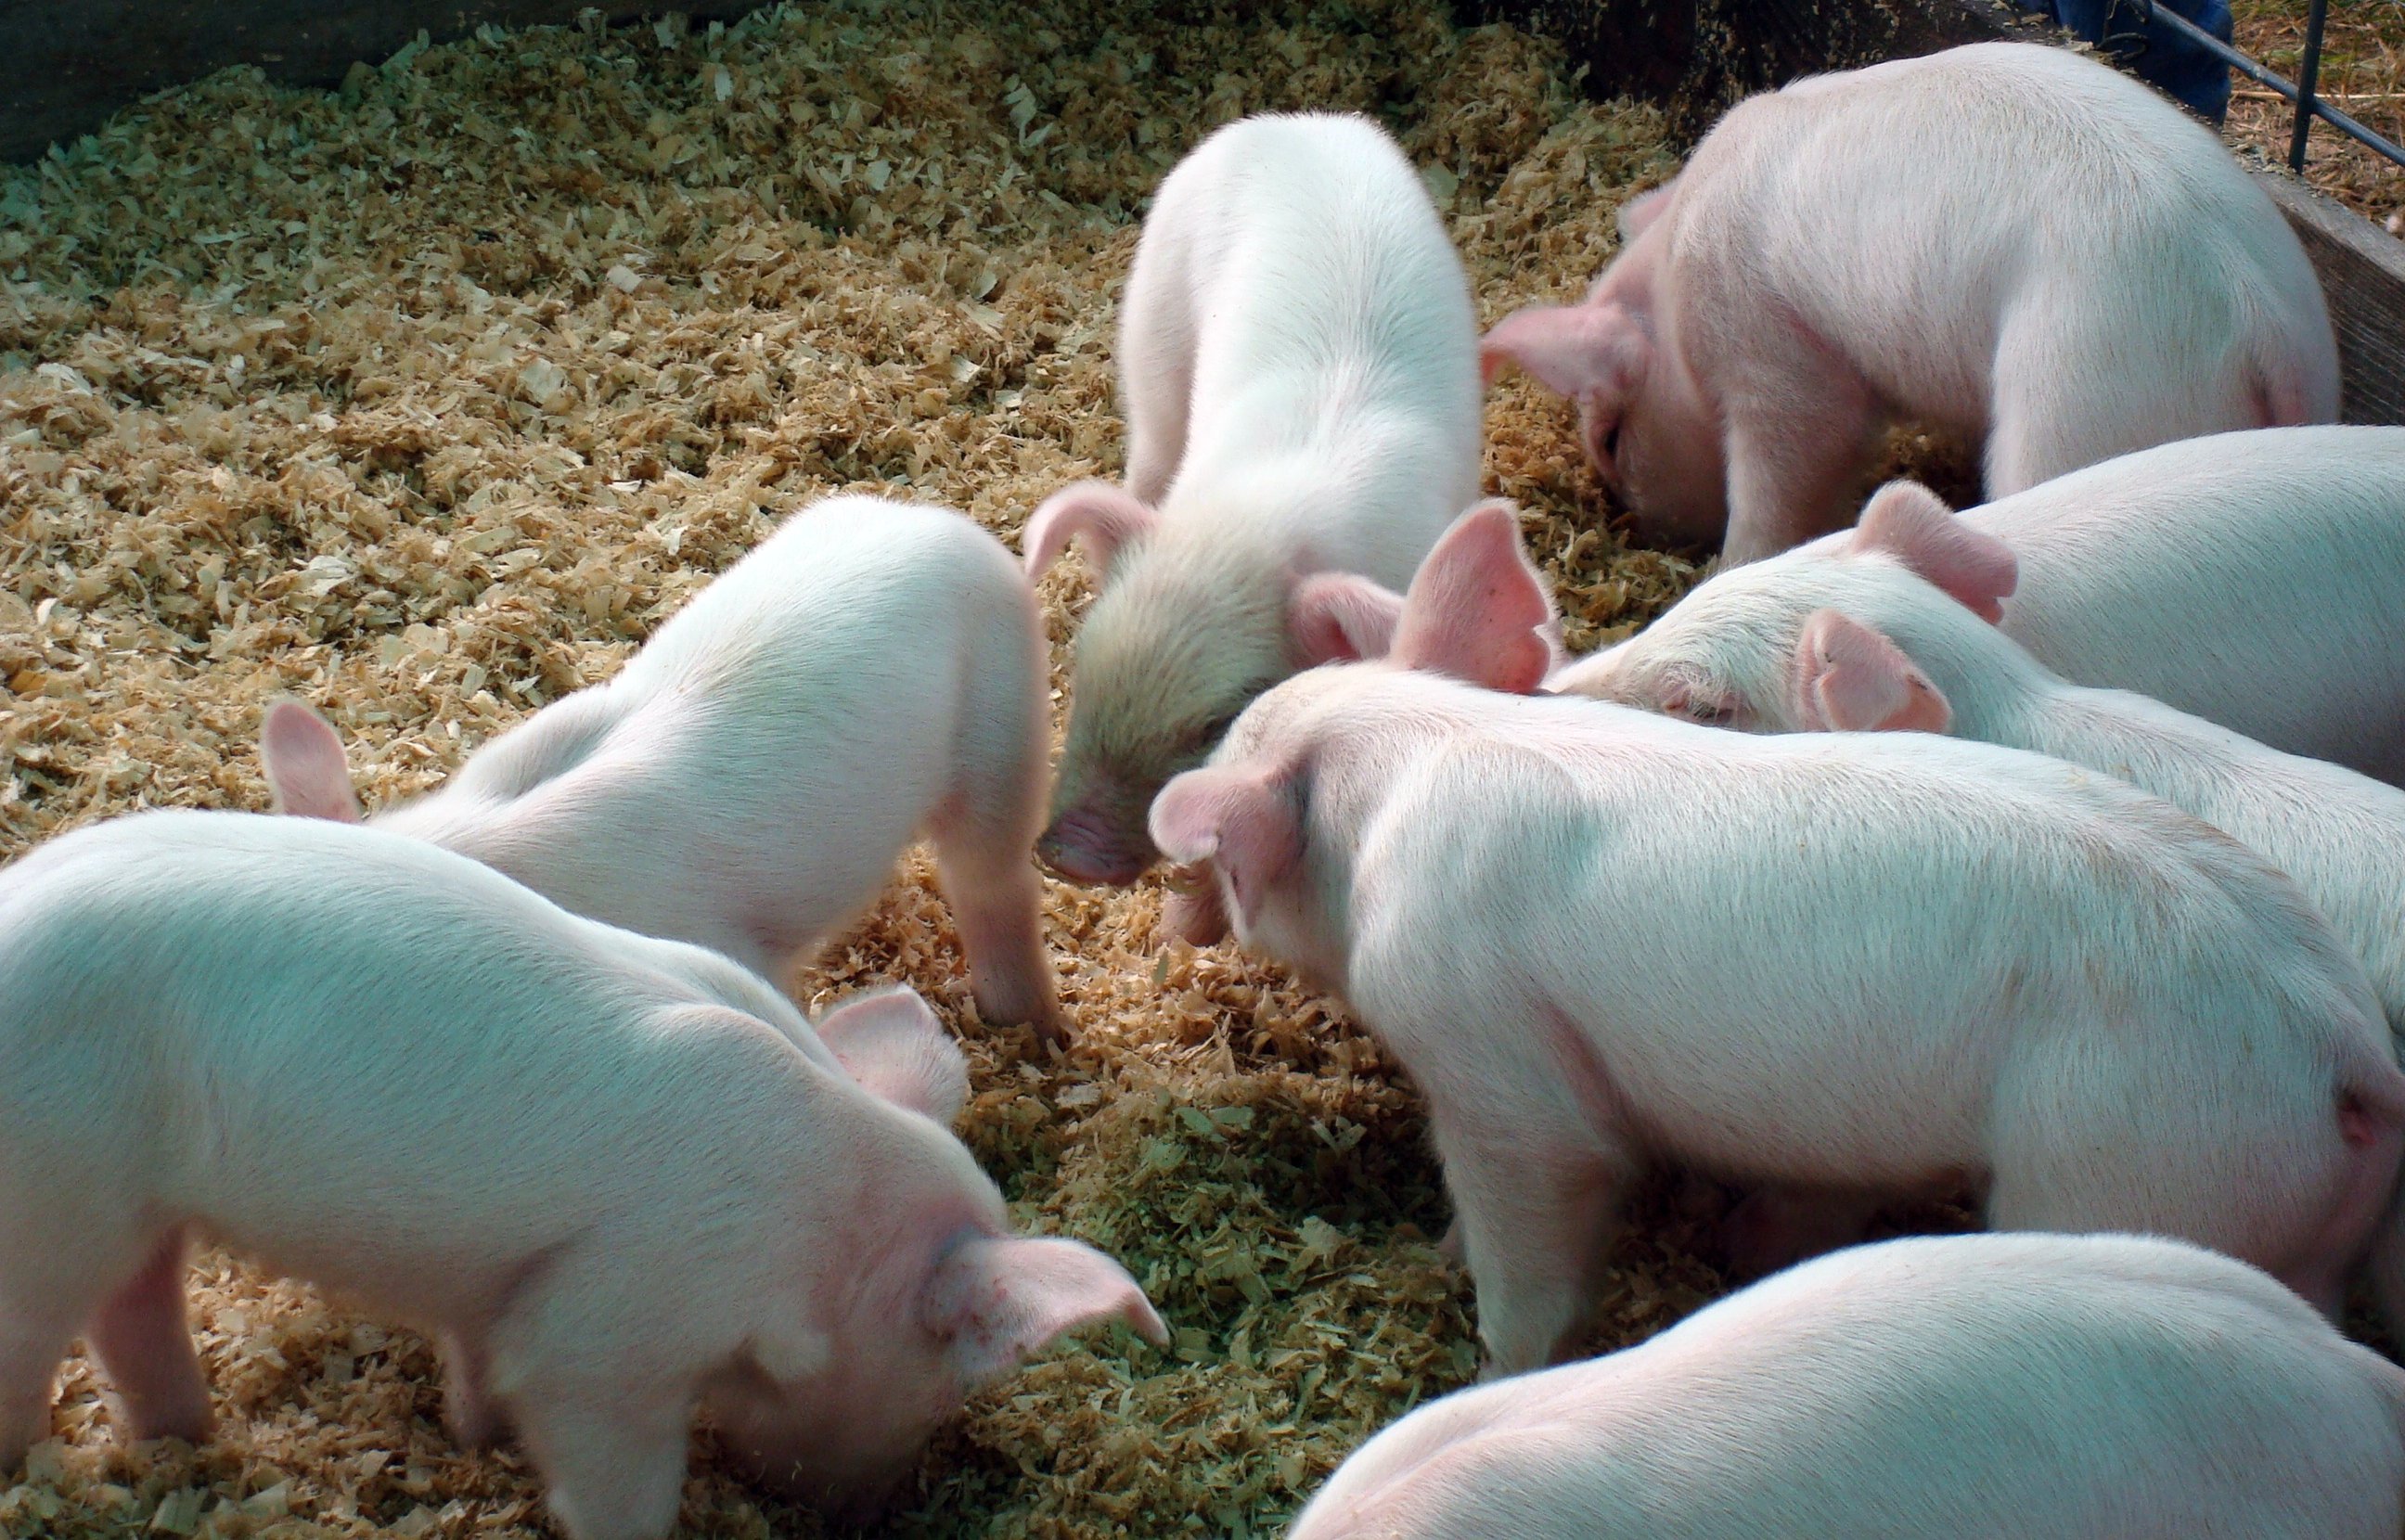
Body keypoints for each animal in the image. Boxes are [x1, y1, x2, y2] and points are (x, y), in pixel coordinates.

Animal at [0, 810, 1166, 1540]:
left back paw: (187, 1445)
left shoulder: (502, 1282)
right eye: (937, 1386)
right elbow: (605, 1461)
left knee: (134, 1308)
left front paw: (471, 1441)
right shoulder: (608, 1329)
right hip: (53, 1184)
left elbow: (480, 1371)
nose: (864, 1513)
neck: (826, 1232)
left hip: (132, 1205)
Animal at [1023, 110, 1483, 885]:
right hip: (1153, 328)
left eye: (1220, 722)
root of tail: (1300, 121)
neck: (1261, 522)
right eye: (1085, 662)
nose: (1067, 855)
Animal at [1149, 525, 2405, 1376]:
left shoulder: (1492, 1057)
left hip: (2130, 1160)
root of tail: (2352, 1056)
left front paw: (1485, 1352)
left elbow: (1537, 1213)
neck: (1406, 769)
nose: (1172, 916)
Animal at [1480, 42, 2339, 565]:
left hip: (2090, 402)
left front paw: (1731, 563)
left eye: (1612, 437)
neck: (1670, 285)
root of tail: (2259, 318)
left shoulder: (1773, 352)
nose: (1645, 530)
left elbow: (1791, 468)